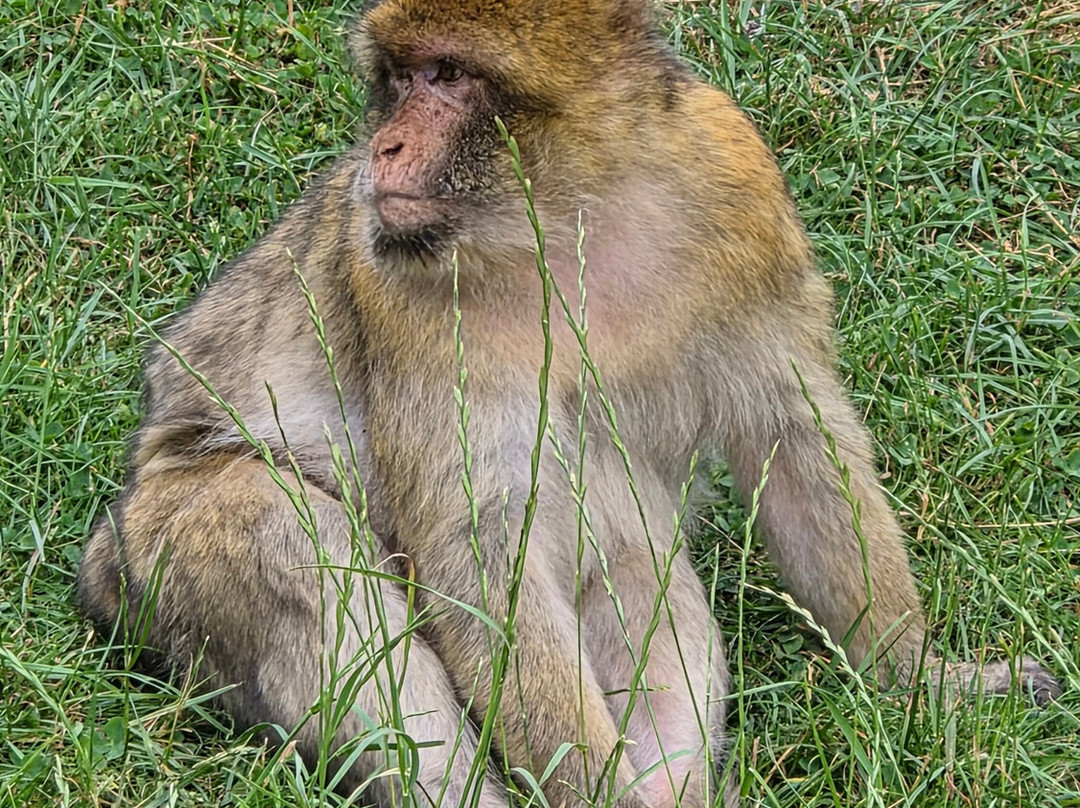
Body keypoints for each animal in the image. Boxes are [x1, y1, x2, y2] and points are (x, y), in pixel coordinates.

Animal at [76, 1, 1062, 806]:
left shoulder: (738, 186)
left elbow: (794, 441)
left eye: (447, 76)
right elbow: (479, 554)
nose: (384, 149)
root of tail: (100, 568)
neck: (569, 208)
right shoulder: (394, 282)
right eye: (397, 80)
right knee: (281, 532)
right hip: (155, 560)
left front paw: (920, 680)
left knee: (630, 536)